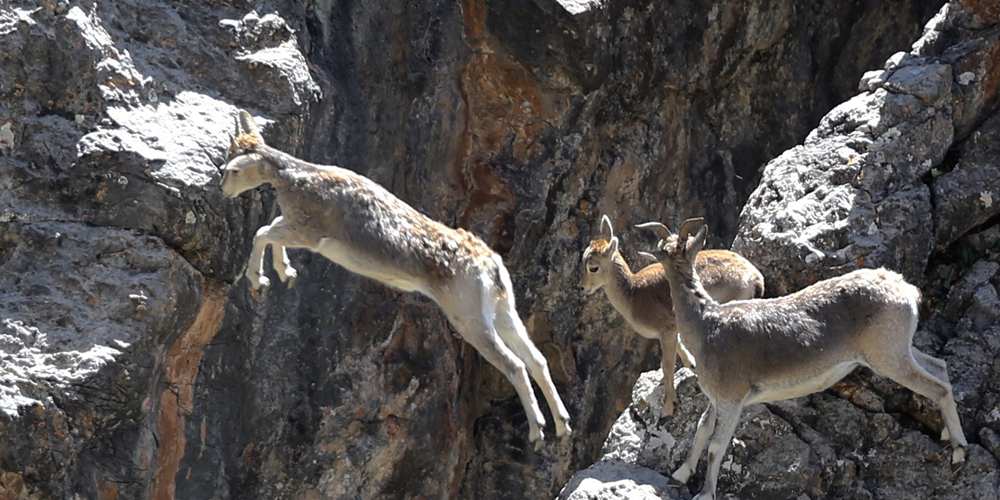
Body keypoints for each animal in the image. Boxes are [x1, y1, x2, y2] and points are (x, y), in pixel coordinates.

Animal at [223, 111, 576, 448]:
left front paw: (260, 280)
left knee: (515, 364)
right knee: (537, 359)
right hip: (503, 311)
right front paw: (286, 273)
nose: (224, 189)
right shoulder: (295, 228)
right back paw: (562, 425)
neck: (295, 181)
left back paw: (537, 432)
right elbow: (271, 231)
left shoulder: (307, 233)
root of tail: (492, 268)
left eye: (234, 170)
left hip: (470, 319)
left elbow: (262, 232)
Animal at [580, 215, 764, 414]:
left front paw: (669, 405)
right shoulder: (673, 330)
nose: (582, 288)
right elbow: (680, 349)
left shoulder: (666, 331)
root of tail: (755, 278)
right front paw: (691, 365)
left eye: (593, 267)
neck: (633, 294)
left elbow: (667, 366)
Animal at [640, 218, 968, 500]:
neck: (707, 326)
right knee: (940, 367)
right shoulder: (716, 399)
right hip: (900, 348)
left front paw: (705, 493)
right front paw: (680, 474)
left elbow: (716, 445)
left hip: (888, 356)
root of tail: (905, 290)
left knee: (937, 387)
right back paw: (946, 434)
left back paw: (959, 451)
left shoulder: (733, 399)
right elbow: (701, 430)